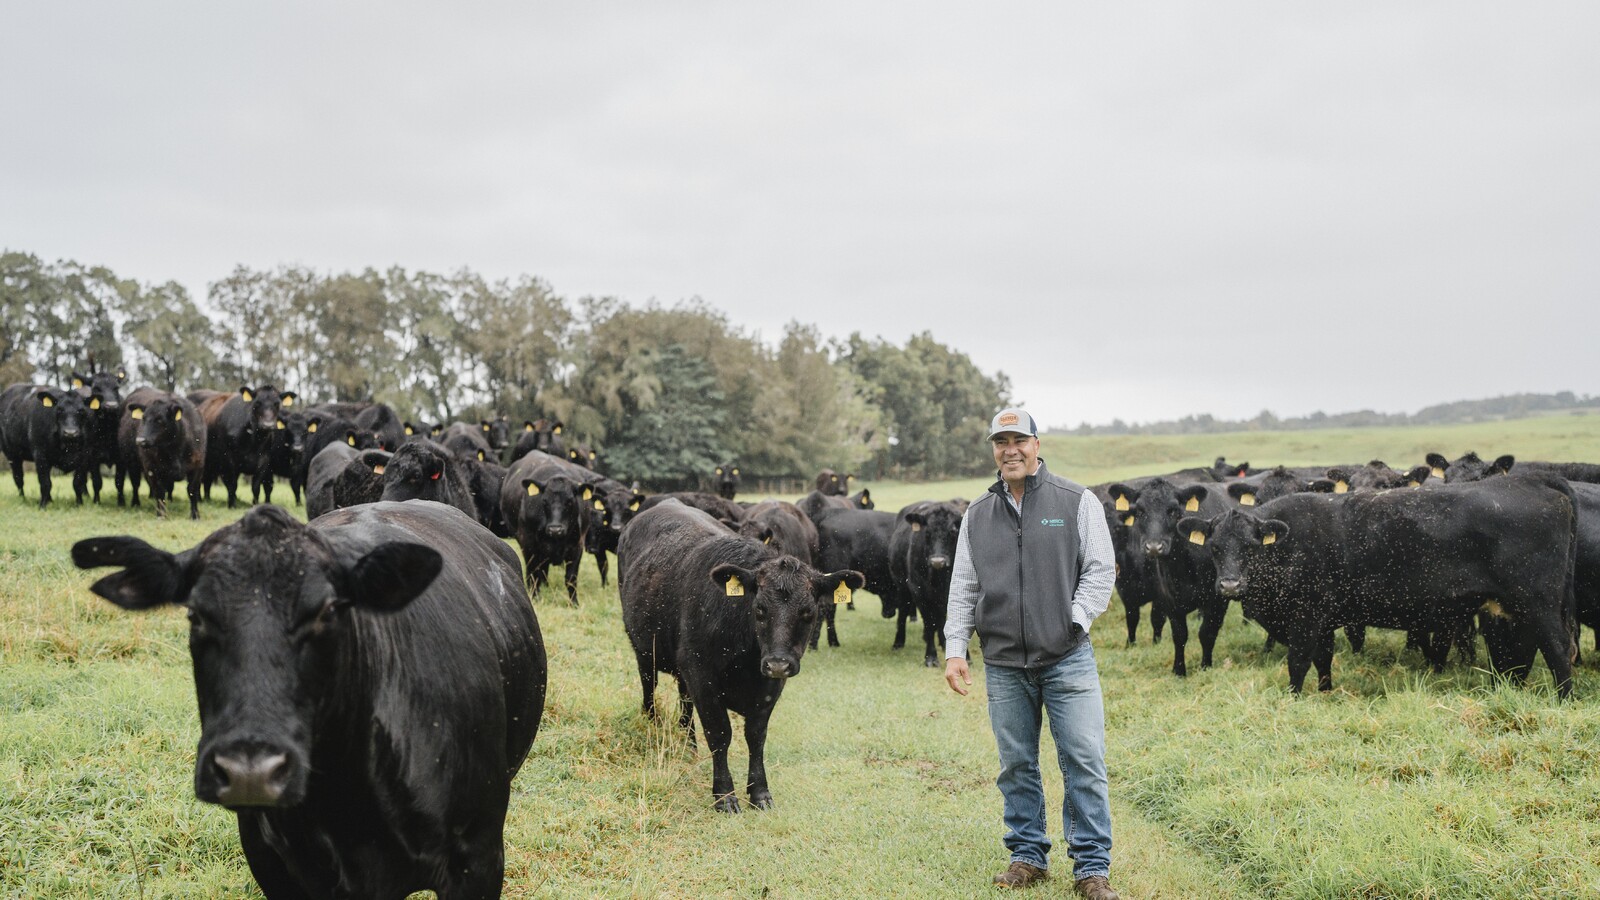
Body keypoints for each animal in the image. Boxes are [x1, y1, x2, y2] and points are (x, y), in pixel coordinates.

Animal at [0, 377, 90, 506]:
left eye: (81, 411)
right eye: (59, 410)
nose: (70, 432)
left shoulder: (84, 456)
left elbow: (78, 482)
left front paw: (79, 504)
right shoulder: (40, 455)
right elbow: (45, 483)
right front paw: (42, 505)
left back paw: (50, 500)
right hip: (12, 454)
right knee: (18, 479)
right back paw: (23, 499)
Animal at [116, 387, 206, 518]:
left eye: (160, 420)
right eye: (143, 418)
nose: (140, 440)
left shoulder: (198, 465)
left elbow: (192, 490)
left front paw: (195, 515)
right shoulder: (152, 468)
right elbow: (159, 491)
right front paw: (161, 514)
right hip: (130, 463)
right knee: (135, 484)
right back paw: (135, 503)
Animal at [499, 448, 595, 602]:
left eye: (570, 501)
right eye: (544, 501)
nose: (555, 529)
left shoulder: (577, 545)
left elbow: (571, 578)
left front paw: (574, 602)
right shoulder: (528, 542)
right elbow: (533, 574)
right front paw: (535, 598)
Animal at [617, 496, 864, 813]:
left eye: (808, 613)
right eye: (759, 609)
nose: (778, 663)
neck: (745, 658)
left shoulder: (768, 687)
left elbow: (756, 737)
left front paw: (759, 792)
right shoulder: (702, 677)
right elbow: (720, 734)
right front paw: (724, 795)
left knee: (684, 702)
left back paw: (688, 743)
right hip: (643, 647)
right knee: (649, 686)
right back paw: (652, 726)